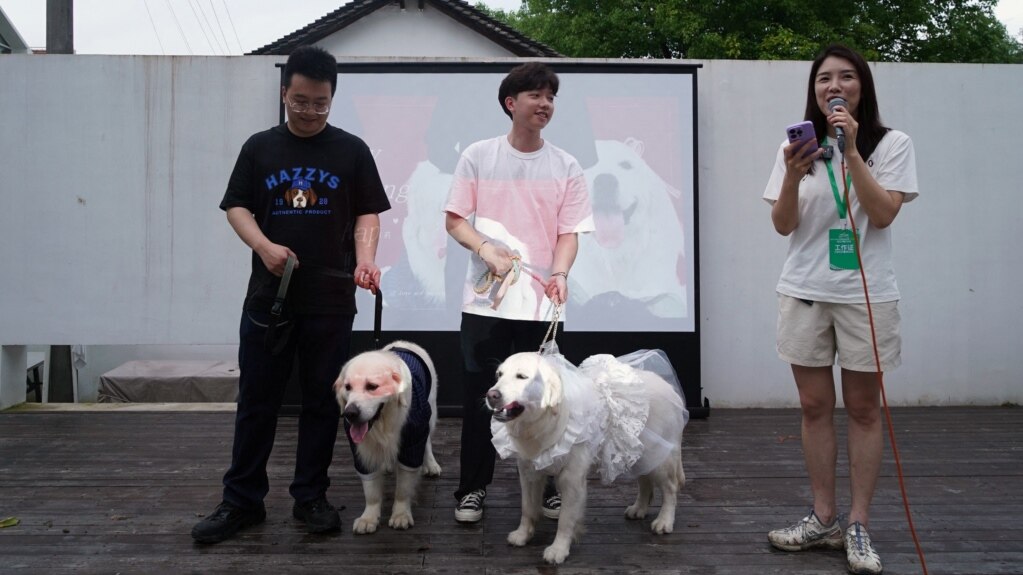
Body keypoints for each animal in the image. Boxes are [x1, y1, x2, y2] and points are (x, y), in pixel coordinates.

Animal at [335, 339, 439, 532]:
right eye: (348, 387)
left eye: (372, 386)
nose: (350, 413)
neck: (383, 422)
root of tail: (404, 342)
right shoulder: (360, 449)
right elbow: (371, 489)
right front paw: (368, 517)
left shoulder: (413, 440)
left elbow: (404, 487)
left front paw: (401, 515)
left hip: (430, 411)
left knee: (427, 441)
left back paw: (431, 464)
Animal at [486, 347, 687, 560]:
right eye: (499, 375)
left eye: (522, 376)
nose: (492, 395)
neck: (544, 421)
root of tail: (670, 388)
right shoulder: (528, 471)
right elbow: (527, 508)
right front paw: (523, 535)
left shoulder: (571, 477)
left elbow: (565, 518)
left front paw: (558, 549)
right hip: (639, 454)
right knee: (645, 481)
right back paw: (638, 509)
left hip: (659, 456)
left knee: (670, 488)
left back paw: (664, 521)